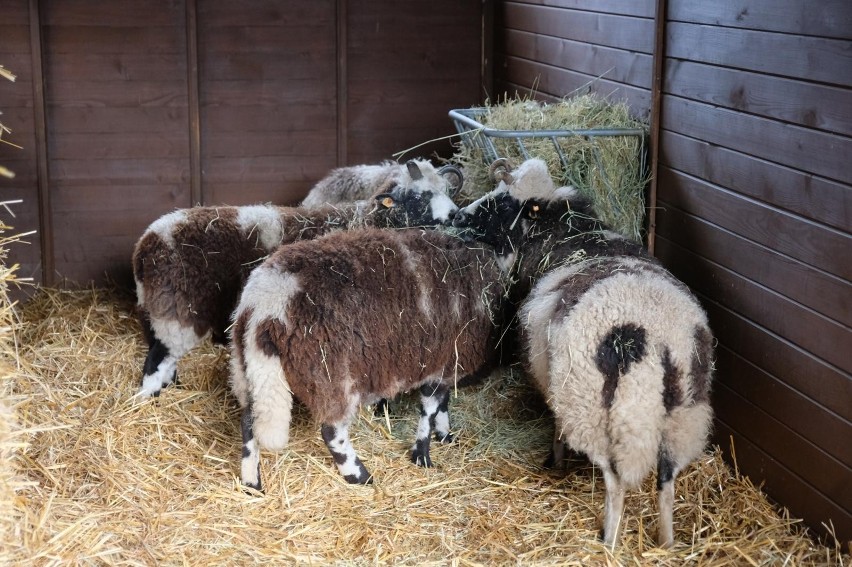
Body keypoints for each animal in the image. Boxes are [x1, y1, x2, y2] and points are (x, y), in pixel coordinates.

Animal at [131, 178, 460, 400]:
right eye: (417, 198)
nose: (456, 215)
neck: (363, 219)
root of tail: (146, 244)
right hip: (179, 311)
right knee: (156, 360)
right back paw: (150, 399)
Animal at [230, 224, 506, 490]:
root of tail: (266, 307)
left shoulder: (444, 364)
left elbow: (443, 403)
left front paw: (444, 435)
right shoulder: (441, 362)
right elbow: (429, 410)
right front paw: (423, 454)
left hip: (250, 369)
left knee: (249, 421)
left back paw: (252, 483)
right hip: (333, 376)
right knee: (331, 431)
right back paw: (359, 476)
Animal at [452, 158, 712, 548]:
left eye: (502, 201)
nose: (458, 216)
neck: (562, 232)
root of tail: (648, 338)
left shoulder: (558, 383)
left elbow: (557, 426)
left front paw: (556, 462)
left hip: (592, 408)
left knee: (615, 480)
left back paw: (609, 539)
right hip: (685, 415)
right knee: (667, 478)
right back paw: (666, 542)